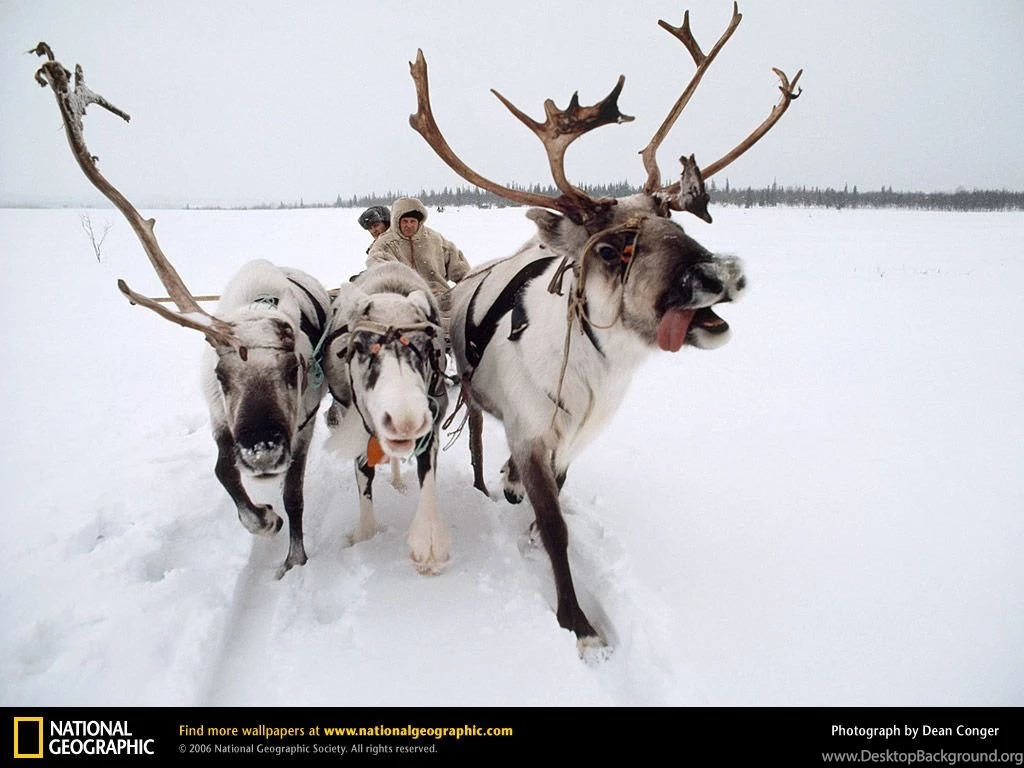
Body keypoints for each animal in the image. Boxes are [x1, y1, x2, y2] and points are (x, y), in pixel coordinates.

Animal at [33, 44, 332, 579]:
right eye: (221, 374)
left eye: (294, 368)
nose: (261, 450)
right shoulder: (219, 418)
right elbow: (222, 470)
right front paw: (262, 519)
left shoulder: (303, 423)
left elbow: (294, 495)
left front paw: (292, 555)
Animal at [407, 3, 801, 651]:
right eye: (613, 250)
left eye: (678, 224)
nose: (721, 272)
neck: (593, 379)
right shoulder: (532, 433)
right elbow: (555, 527)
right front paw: (578, 623)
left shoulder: (573, 441)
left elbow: (554, 508)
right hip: (468, 392)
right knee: (477, 440)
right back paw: (488, 483)